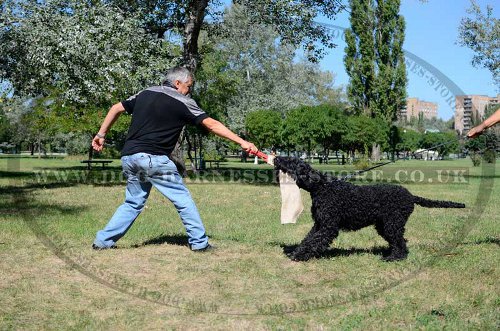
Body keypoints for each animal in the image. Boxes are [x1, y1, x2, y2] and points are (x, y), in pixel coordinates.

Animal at [274, 157, 464, 264]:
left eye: (292, 161)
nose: (276, 158)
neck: (322, 187)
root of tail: (411, 196)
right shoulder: (319, 225)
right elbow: (307, 239)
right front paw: (296, 251)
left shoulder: (328, 227)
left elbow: (314, 242)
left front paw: (300, 256)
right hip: (385, 226)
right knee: (400, 242)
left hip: (392, 224)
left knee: (401, 243)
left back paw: (394, 258)